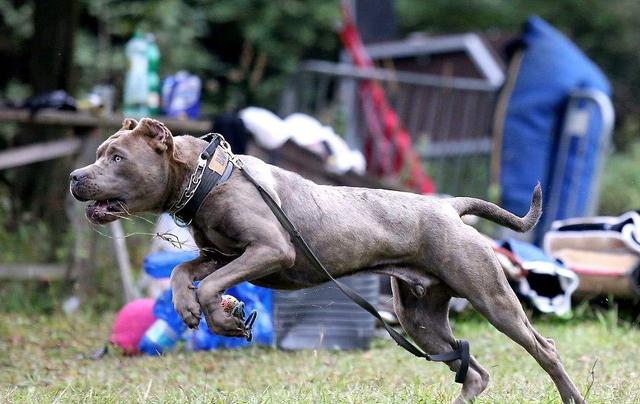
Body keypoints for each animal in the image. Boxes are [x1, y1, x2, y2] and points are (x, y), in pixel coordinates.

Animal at [70, 118, 584, 402]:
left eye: (117, 158)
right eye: (99, 154)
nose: (75, 175)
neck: (206, 177)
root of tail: (448, 206)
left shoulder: (269, 249)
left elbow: (214, 284)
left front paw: (225, 317)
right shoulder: (220, 254)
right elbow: (183, 270)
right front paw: (192, 309)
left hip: (491, 297)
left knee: (546, 350)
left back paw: (572, 395)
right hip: (419, 318)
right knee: (473, 371)